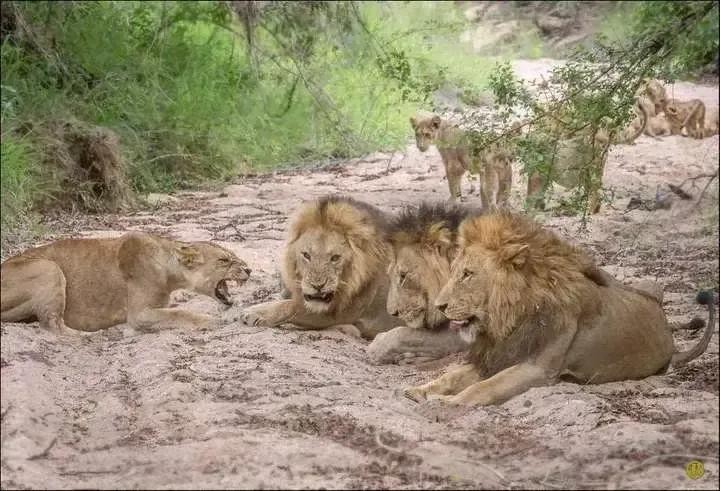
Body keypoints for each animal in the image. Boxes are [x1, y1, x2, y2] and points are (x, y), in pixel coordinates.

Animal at [0, 232, 251, 333]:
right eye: (224, 260)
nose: (249, 269)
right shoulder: (139, 314)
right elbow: (179, 313)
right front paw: (211, 321)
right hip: (48, 267)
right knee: (52, 325)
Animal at [239, 195, 402, 340]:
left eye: (335, 258)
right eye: (306, 255)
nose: (317, 286)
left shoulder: (341, 312)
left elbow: (291, 306)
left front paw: (256, 312)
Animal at [404, 212, 715, 406]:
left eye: (468, 274)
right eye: (455, 270)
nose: (440, 305)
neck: (511, 318)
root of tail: (671, 342)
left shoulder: (538, 368)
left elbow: (484, 388)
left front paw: (447, 402)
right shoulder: (498, 356)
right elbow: (451, 376)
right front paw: (420, 391)